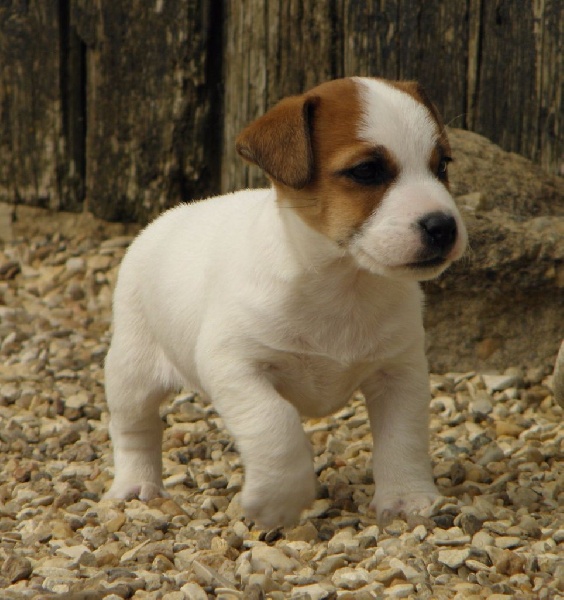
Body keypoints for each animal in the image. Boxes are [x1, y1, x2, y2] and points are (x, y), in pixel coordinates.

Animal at [104, 76, 468, 528]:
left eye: (442, 166)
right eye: (367, 171)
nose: (444, 226)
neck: (342, 285)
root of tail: (168, 217)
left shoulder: (400, 373)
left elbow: (404, 438)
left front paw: (407, 497)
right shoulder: (235, 366)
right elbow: (276, 426)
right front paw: (278, 500)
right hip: (131, 373)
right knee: (134, 430)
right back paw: (136, 485)